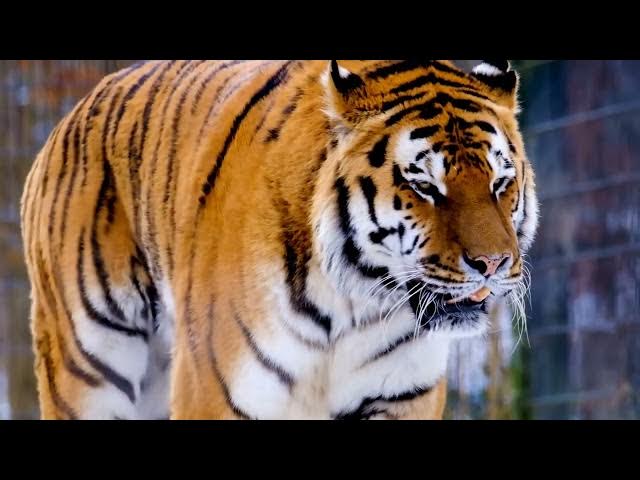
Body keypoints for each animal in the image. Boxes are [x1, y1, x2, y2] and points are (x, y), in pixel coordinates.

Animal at [20, 60, 538, 420]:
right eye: (425, 187)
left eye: (500, 183)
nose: (493, 263)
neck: (353, 305)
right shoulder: (217, 393)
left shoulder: (401, 394)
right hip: (88, 368)